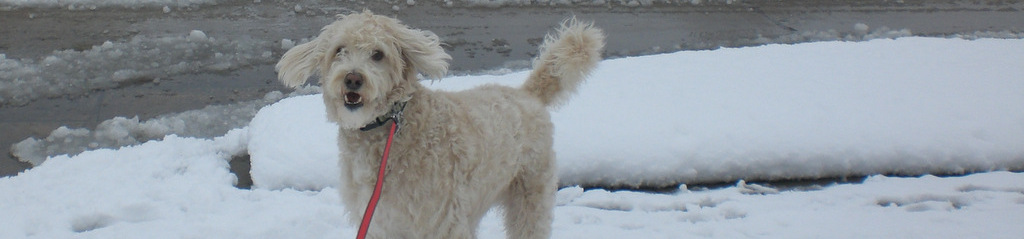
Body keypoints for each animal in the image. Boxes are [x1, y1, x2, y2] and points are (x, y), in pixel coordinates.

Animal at [276, 10, 602, 239]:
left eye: (378, 54)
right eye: (339, 50)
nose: (353, 79)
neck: (392, 128)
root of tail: (526, 94)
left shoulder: (439, 220)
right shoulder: (382, 220)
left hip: (531, 197)